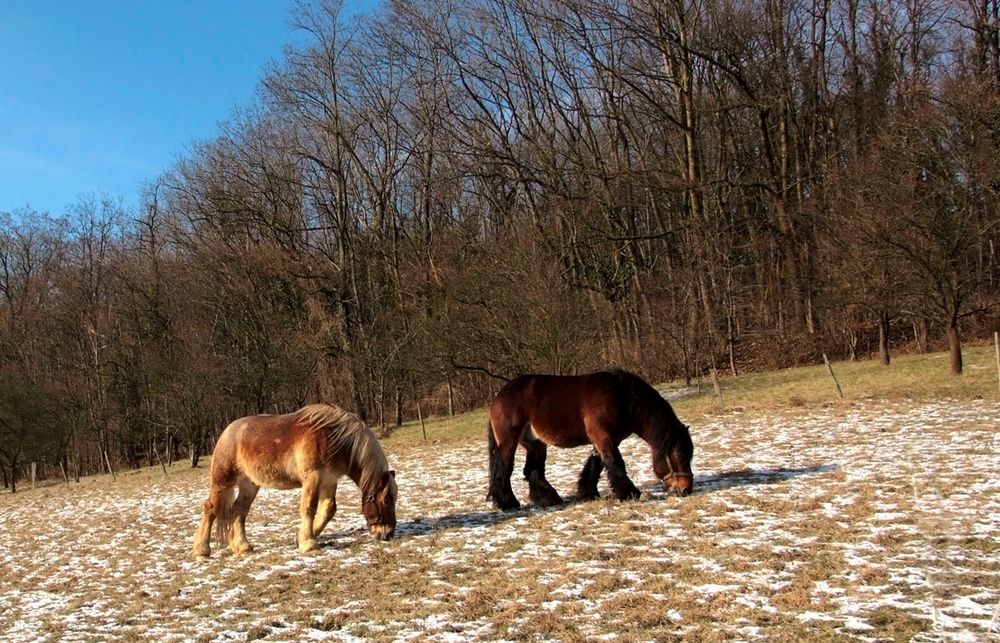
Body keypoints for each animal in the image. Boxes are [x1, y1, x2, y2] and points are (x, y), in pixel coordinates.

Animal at [193, 402, 396, 560]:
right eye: (387, 499)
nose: (388, 533)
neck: (332, 437)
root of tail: (226, 432)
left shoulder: (329, 480)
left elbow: (328, 510)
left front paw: (300, 538)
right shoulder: (313, 478)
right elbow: (309, 508)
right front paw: (309, 544)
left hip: (249, 485)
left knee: (239, 511)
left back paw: (242, 546)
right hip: (222, 482)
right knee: (210, 509)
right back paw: (202, 550)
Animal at [486, 370, 692, 510]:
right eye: (678, 456)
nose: (686, 489)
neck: (622, 396)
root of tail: (499, 396)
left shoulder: (605, 439)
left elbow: (596, 465)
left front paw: (588, 493)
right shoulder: (603, 436)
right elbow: (615, 463)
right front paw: (629, 493)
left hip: (535, 443)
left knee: (533, 472)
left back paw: (550, 499)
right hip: (509, 441)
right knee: (504, 469)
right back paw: (508, 503)